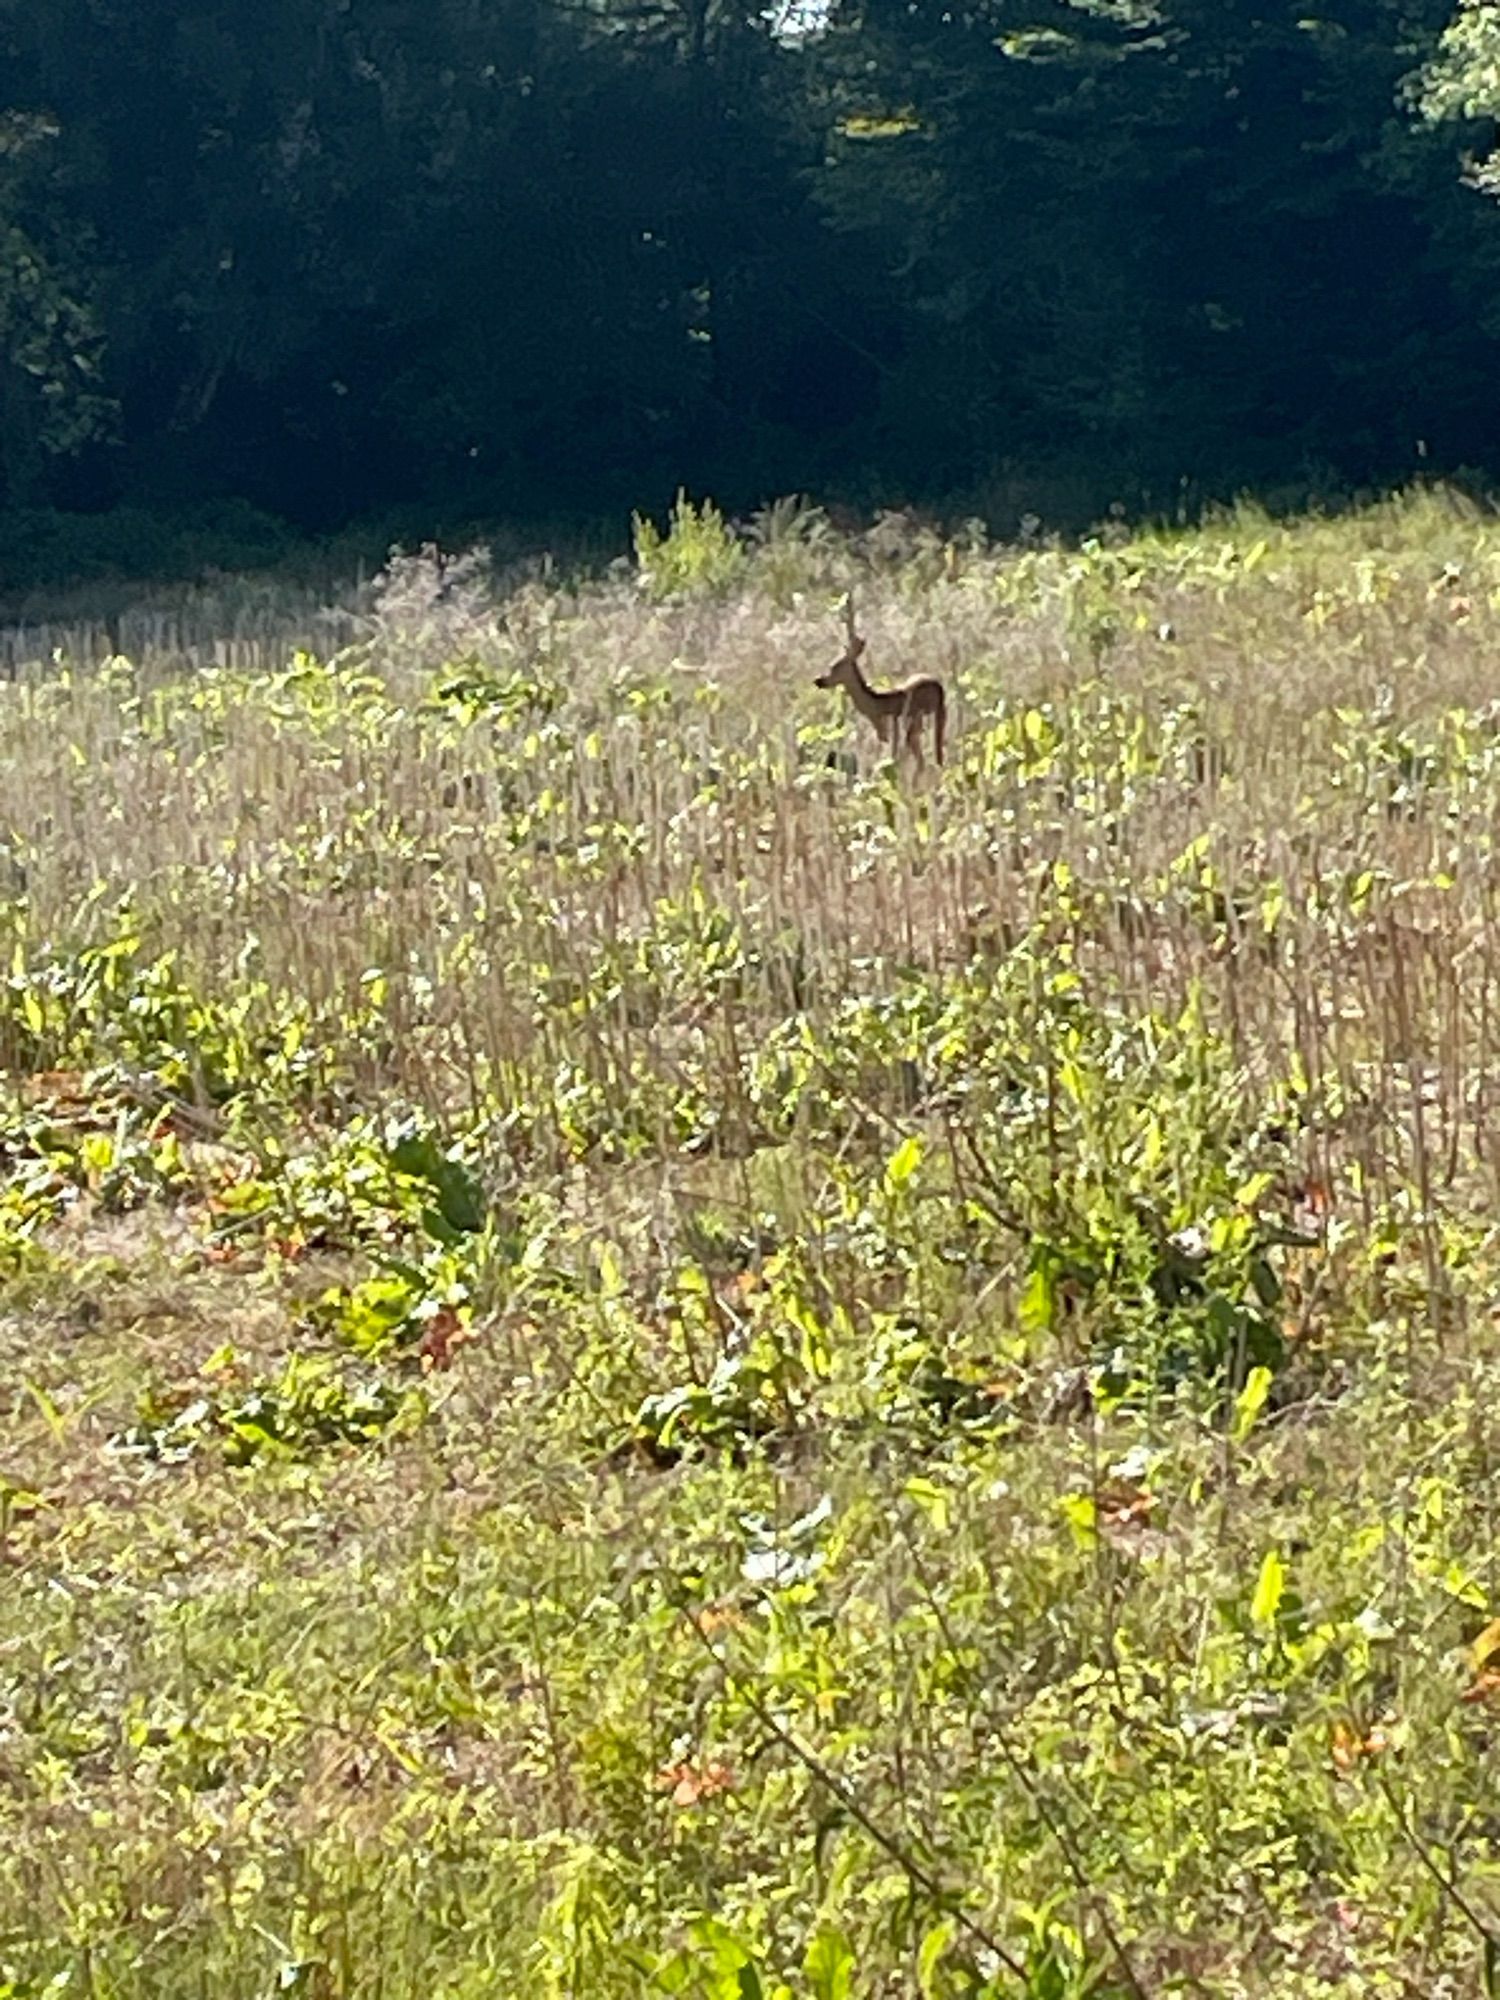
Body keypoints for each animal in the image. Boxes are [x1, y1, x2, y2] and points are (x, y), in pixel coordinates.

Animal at [816, 592, 944, 764]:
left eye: (834, 666)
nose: (818, 680)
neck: (876, 706)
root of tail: (939, 687)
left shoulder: (892, 727)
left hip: (920, 717)